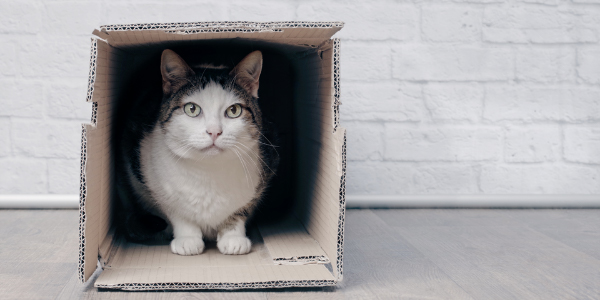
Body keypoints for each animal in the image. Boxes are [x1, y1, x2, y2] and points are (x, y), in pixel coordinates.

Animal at [114, 49, 278, 255]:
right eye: (192, 109)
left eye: (234, 110)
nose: (214, 132)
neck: (209, 171)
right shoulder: (155, 185)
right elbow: (178, 213)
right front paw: (188, 239)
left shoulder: (263, 174)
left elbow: (240, 210)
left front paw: (233, 237)